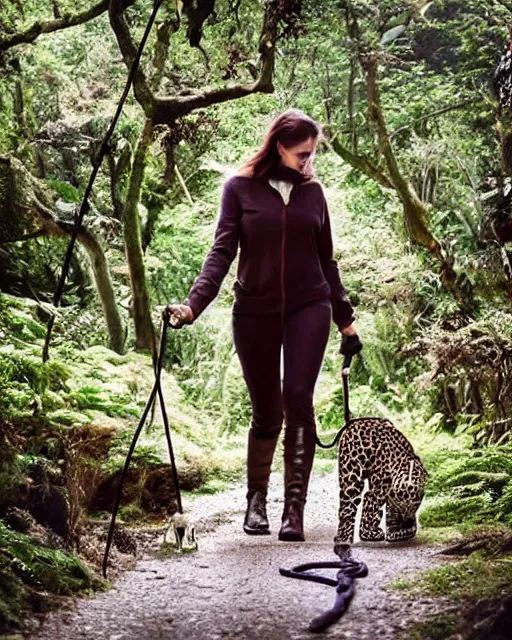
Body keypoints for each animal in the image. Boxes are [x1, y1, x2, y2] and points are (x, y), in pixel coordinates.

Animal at [334, 416, 426, 552]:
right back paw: (344, 538)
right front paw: (371, 533)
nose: (406, 522)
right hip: (351, 476)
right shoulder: (379, 493)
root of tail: (355, 422)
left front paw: (397, 532)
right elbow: (370, 508)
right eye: (402, 507)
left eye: (414, 506)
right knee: (348, 507)